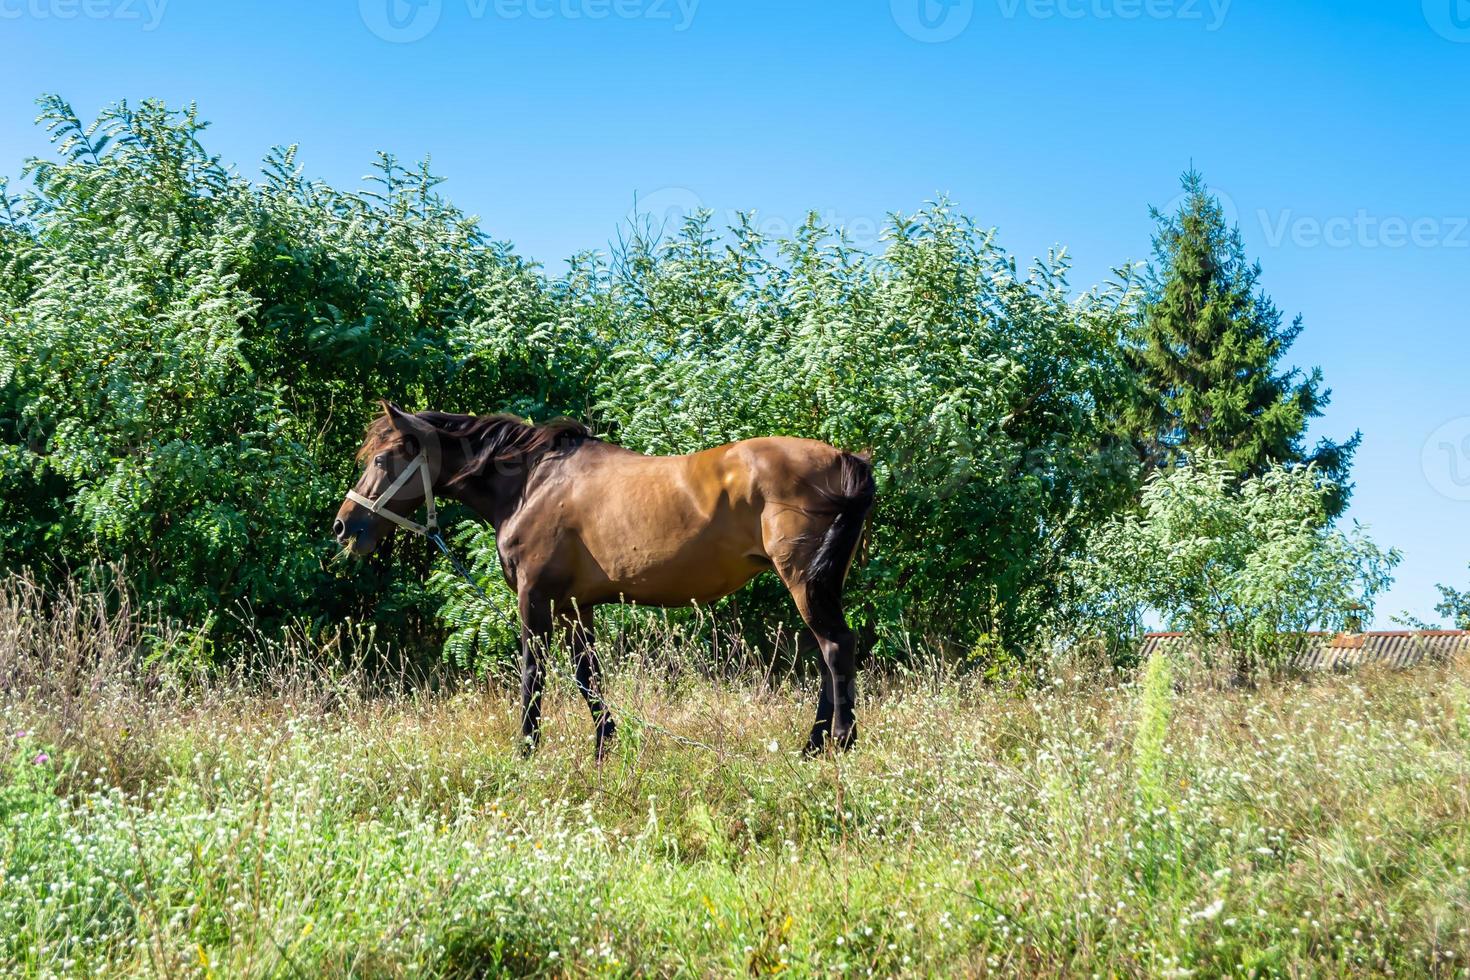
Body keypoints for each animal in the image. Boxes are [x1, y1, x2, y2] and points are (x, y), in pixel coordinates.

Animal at [333, 402, 870, 764]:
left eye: (380, 461)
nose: (344, 528)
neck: (532, 484)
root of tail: (846, 459)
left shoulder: (535, 600)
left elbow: (533, 675)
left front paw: (525, 750)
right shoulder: (576, 606)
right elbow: (586, 676)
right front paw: (604, 746)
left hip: (803, 582)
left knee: (835, 648)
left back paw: (837, 741)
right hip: (820, 584)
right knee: (829, 655)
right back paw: (814, 745)